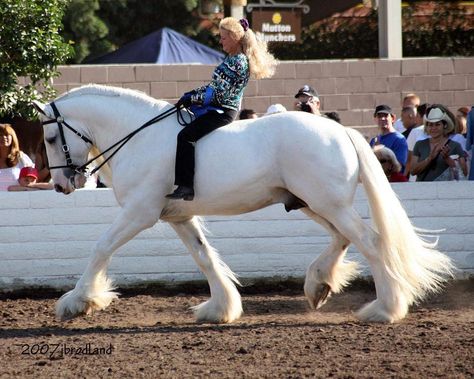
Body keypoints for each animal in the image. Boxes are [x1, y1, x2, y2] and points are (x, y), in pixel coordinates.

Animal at [33, 84, 452, 326]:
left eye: (51, 137)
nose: (62, 185)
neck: (138, 136)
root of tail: (344, 131)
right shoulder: (178, 217)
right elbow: (205, 258)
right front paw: (220, 308)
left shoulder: (140, 213)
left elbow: (101, 247)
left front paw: (77, 302)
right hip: (311, 203)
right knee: (343, 239)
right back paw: (319, 284)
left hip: (327, 203)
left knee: (371, 242)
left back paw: (385, 309)